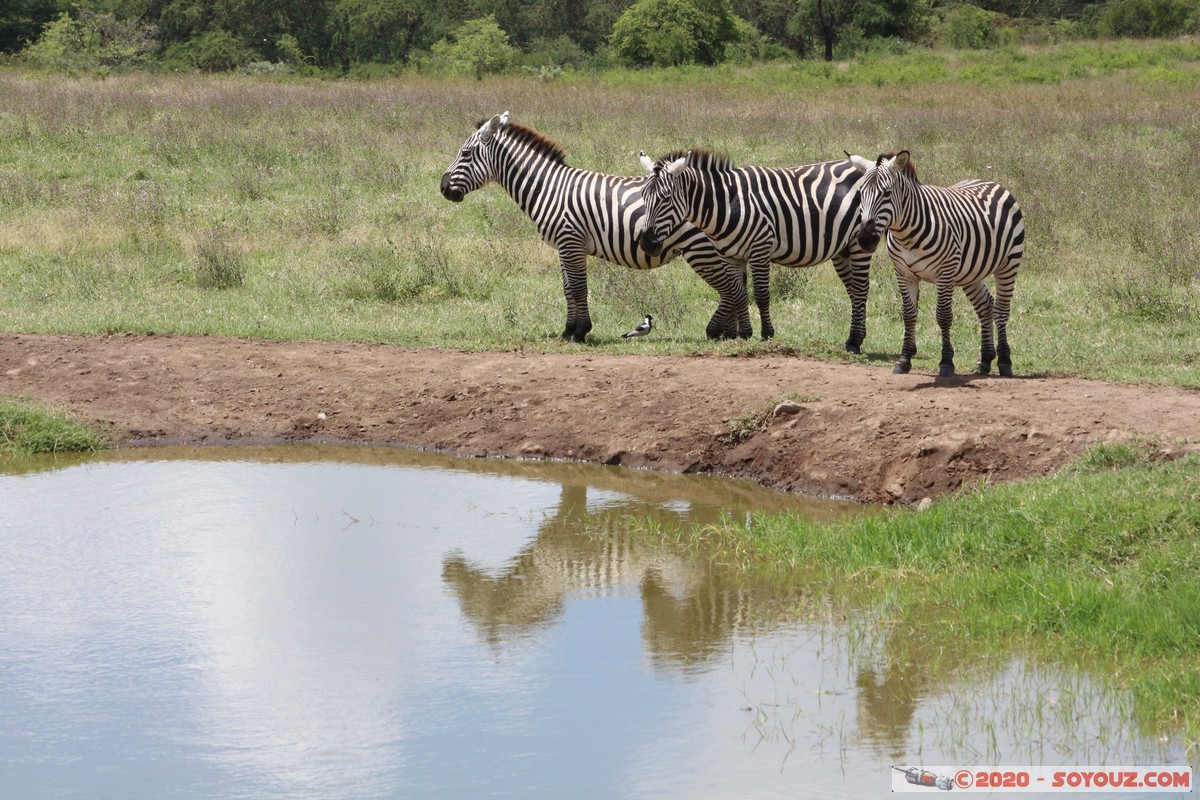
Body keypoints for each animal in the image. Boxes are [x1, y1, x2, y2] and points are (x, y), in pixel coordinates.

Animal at [440, 113, 751, 342]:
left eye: (465, 153)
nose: (442, 188)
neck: (548, 188)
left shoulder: (571, 241)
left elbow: (578, 288)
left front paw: (580, 332)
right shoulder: (564, 245)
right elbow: (567, 288)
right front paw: (567, 330)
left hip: (701, 250)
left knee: (730, 288)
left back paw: (718, 332)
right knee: (736, 285)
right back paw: (731, 333)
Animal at [634, 149, 875, 351]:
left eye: (665, 198)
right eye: (643, 197)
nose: (646, 244)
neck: (727, 204)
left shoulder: (760, 248)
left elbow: (760, 295)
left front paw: (767, 333)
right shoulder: (730, 255)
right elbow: (739, 293)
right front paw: (744, 333)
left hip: (859, 243)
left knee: (861, 289)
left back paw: (854, 341)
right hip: (843, 249)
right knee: (854, 291)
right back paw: (855, 338)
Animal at [848, 151, 1025, 378]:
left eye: (886, 193)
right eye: (860, 193)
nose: (864, 239)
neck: (906, 233)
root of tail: (992, 182)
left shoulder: (945, 272)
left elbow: (943, 316)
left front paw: (946, 362)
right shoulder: (903, 273)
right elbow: (909, 315)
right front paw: (904, 360)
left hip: (1008, 264)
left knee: (1001, 309)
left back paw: (1004, 361)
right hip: (970, 272)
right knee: (986, 306)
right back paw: (986, 360)